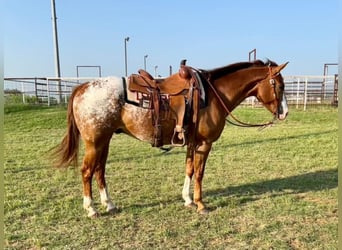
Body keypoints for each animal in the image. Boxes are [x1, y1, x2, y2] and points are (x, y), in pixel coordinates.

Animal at [52, 59, 288, 217]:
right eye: (279, 85)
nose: (285, 113)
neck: (212, 95)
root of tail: (82, 87)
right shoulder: (205, 144)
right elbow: (199, 174)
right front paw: (201, 204)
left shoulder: (192, 143)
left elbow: (189, 169)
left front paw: (188, 200)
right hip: (95, 142)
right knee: (86, 171)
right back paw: (91, 209)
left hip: (105, 141)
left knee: (100, 170)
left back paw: (108, 204)